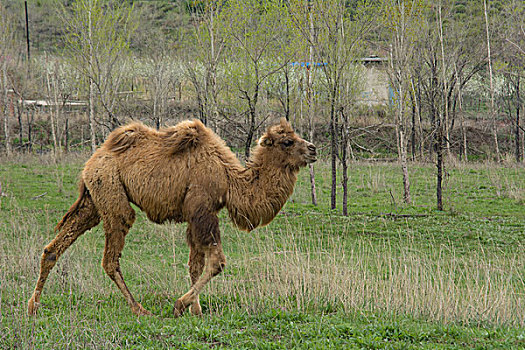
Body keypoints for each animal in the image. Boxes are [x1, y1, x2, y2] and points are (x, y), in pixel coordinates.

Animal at [26, 117, 316, 318]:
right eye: (288, 141)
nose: (313, 149)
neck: (228, 179)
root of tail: (92, 161)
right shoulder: (202, 209)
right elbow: (217, 262)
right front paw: (180, 305)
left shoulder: (195, 216)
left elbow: (195, 264)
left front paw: (196, 311)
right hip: (113, 196)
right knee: (110, 258)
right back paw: (139, 309)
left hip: (93, 202)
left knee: (54, 248)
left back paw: (33, 306)